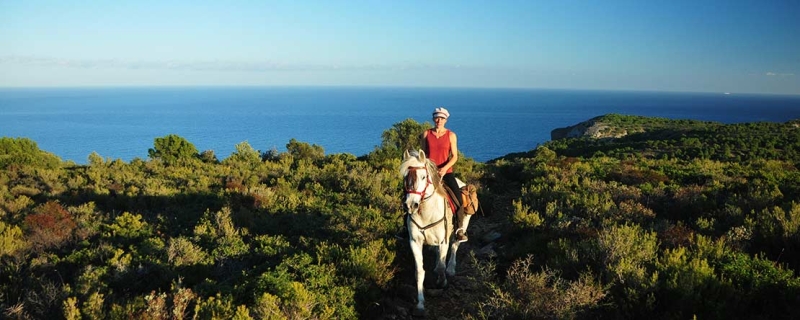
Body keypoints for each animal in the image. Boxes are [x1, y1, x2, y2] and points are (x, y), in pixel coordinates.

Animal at [398, 149, 472, 316]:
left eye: (423, 176)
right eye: (405, 177)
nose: (411, 205)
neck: (426, 212)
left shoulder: (444, 240)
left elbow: (441, 267)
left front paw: (442, 281)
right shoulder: (415, 242)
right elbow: (419, 272)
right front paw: (420, 303)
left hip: (462, 226)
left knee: (455, 245)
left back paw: (451, 268)